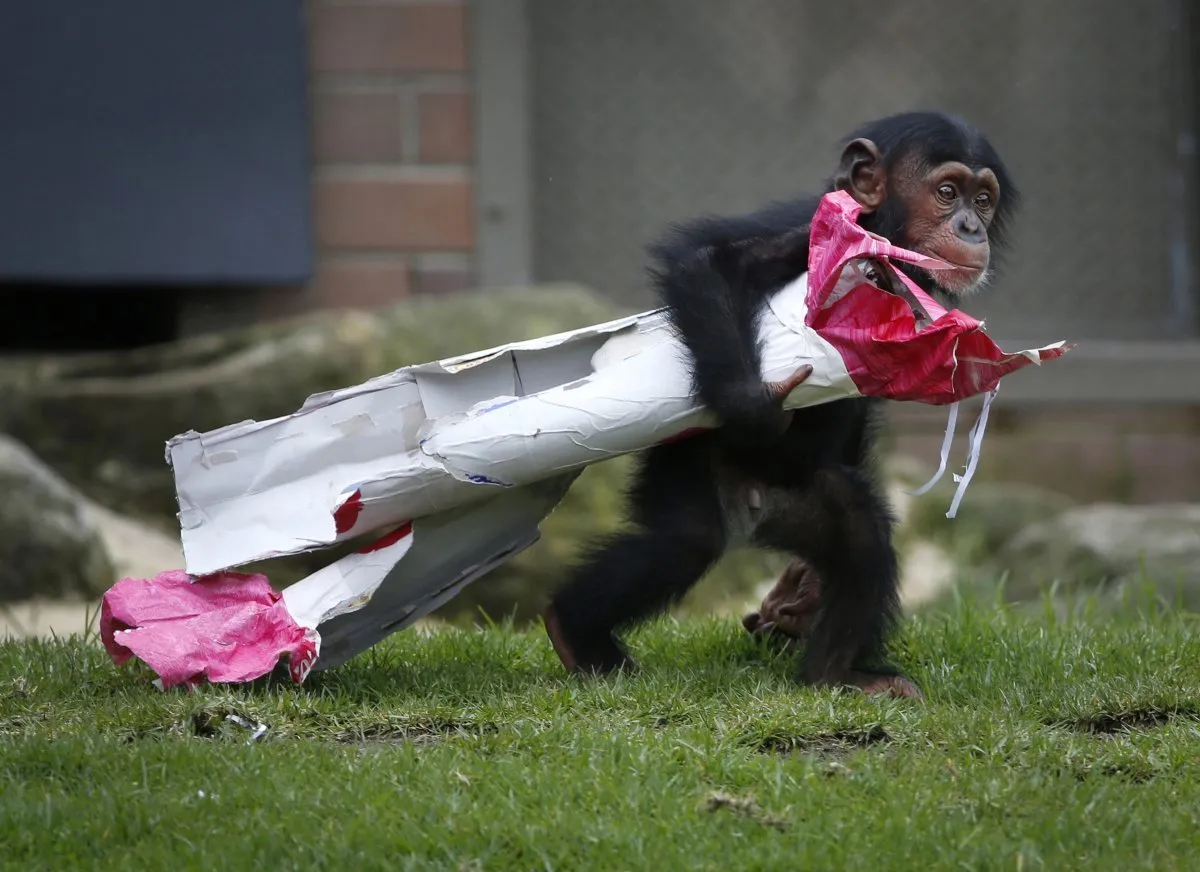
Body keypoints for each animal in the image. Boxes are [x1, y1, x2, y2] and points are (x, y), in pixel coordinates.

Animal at [540, 109, 1017, 700]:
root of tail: (756, 511)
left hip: (805, 503)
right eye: (947, 192)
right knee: (684, 541)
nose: (971, 227)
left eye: (983, 200)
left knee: (858, 531)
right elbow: (709, 262)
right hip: (690, 470)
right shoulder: (809, 232)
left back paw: (833, 668)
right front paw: (754, 408)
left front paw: (800, 595)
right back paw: (575, 631)